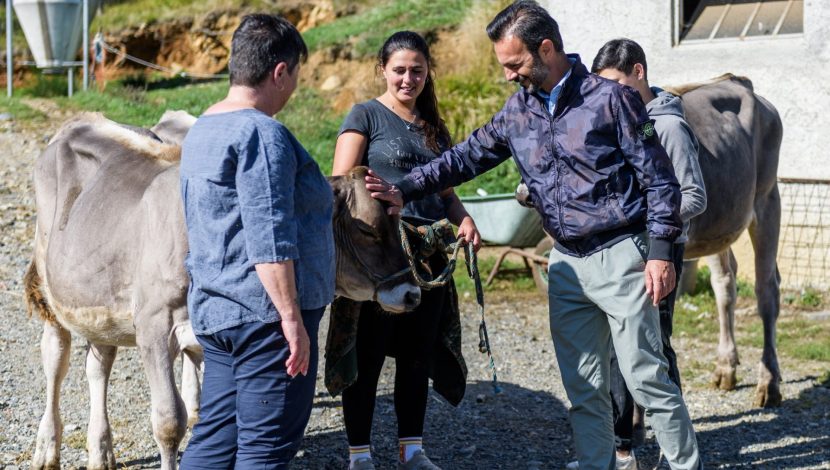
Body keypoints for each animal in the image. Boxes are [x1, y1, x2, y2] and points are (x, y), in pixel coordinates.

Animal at [26, 114, 420, 470]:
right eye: (368, 229)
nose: (412, 293)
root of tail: (81, 121)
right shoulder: (154, 327)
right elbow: (169, 421)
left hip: (98, 300)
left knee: (99, 366)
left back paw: (101, 451)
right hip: (49, 284)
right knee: (55, 360)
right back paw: (47, 448)